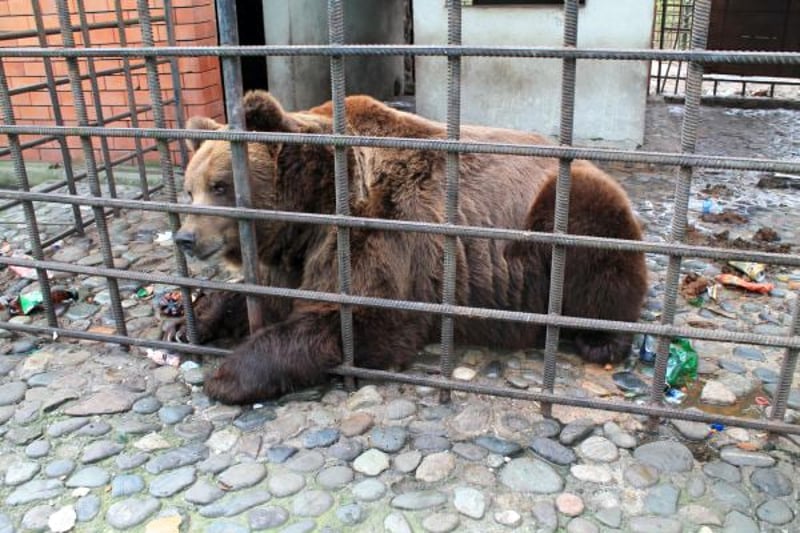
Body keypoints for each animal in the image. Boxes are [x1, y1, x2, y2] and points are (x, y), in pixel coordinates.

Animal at [170, 90, 648, 404]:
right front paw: (187, 322)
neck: (311, 213)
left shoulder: (384, 236)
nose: (186, 237)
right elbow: (260, 295)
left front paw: (228, 375)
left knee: (600, 257)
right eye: (190, 189)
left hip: (564, 211)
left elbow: (361, 321)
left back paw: (600, 340)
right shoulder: (293, 257)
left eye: (220, 186)